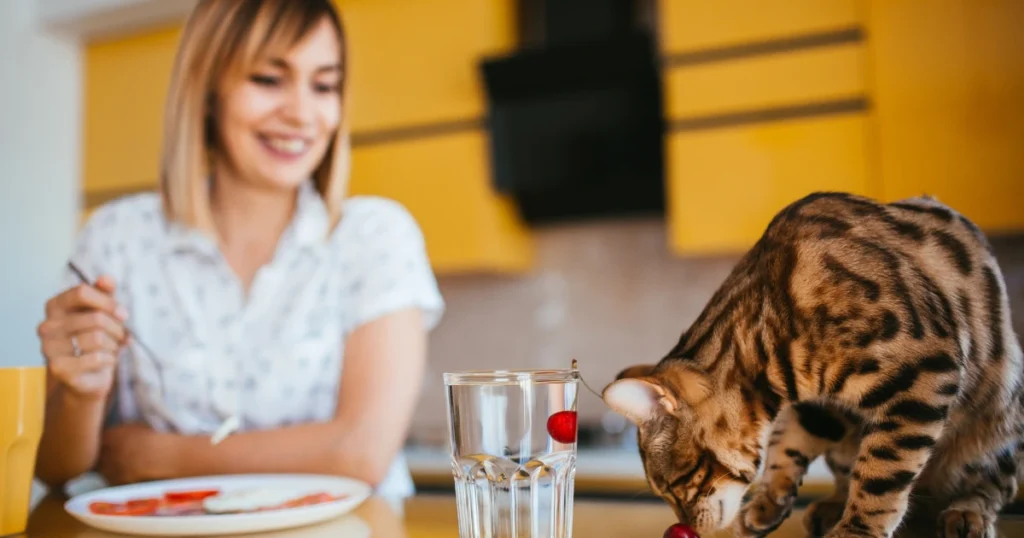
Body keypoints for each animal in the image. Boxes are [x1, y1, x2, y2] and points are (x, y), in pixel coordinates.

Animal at [602, 192, 1019, 536]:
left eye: (674, 485)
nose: (687, 526)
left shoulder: (926, 371)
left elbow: (881, 472)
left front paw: (857, 529)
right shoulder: (821, 405)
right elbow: (787, 444)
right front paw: (770, 499)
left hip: (1000, 423)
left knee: (996, 487)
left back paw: (966, 513)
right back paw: (830, 506)